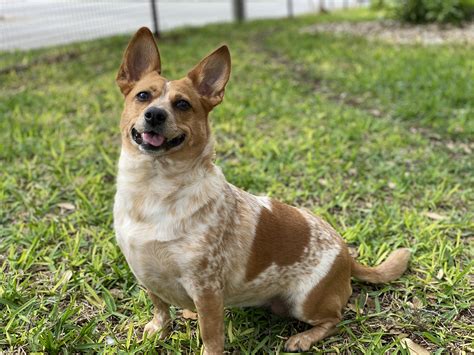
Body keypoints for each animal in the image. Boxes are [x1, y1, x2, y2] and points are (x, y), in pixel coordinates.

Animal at [113, 27, 410, 354]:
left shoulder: (207, 289)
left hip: (305, 302)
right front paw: (158, 330)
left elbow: (211, 336)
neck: (154, 188)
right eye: (143, 96)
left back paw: (303, 338)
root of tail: (347, 255)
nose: (155, 115)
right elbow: (160, 307)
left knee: (335, 319)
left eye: (183, 105)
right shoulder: (145, 272)